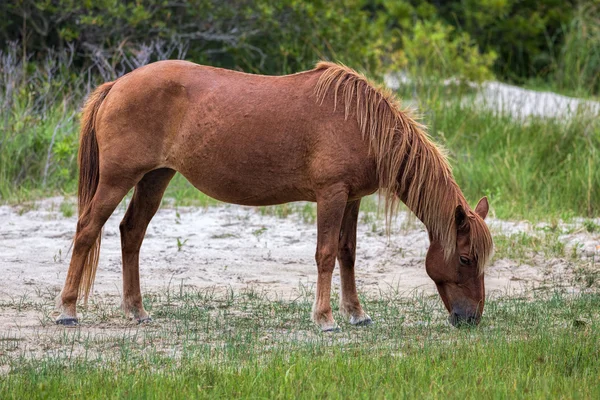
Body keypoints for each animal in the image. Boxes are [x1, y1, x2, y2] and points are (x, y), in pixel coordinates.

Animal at [56, 60, 494, 332]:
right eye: (466, 258)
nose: (472, 318)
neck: (360, 122)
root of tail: (117, 85)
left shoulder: (352, 198)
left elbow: (348, 253)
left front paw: (357, 314)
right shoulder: (331, 195)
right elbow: (326, 255)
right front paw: (325, 319)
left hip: (154, 179)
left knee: (131, 233)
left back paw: (137, 311)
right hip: (117, 180)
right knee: (87, 230)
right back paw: (67, 310)